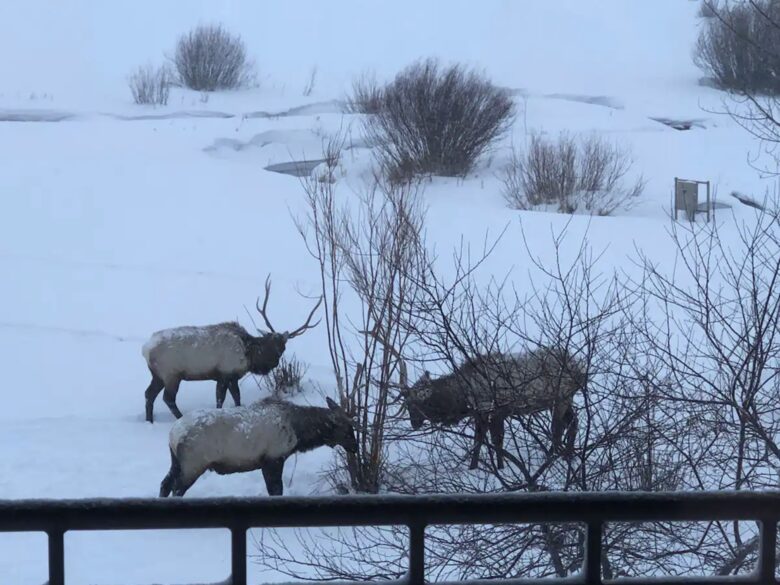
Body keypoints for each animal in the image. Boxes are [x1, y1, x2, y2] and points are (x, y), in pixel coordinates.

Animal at [142, 276, 322, 422]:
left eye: (283, 346)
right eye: (271, 343)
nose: (275, 361)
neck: (249, 355)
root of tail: (145, 349)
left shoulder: (233, 376)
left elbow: (237, 398)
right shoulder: (224, 373)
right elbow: (220, 399)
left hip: (158, 375)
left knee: (149, 394)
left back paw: (149, 420)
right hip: (171, 374)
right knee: (168, 398)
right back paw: (180, 417)